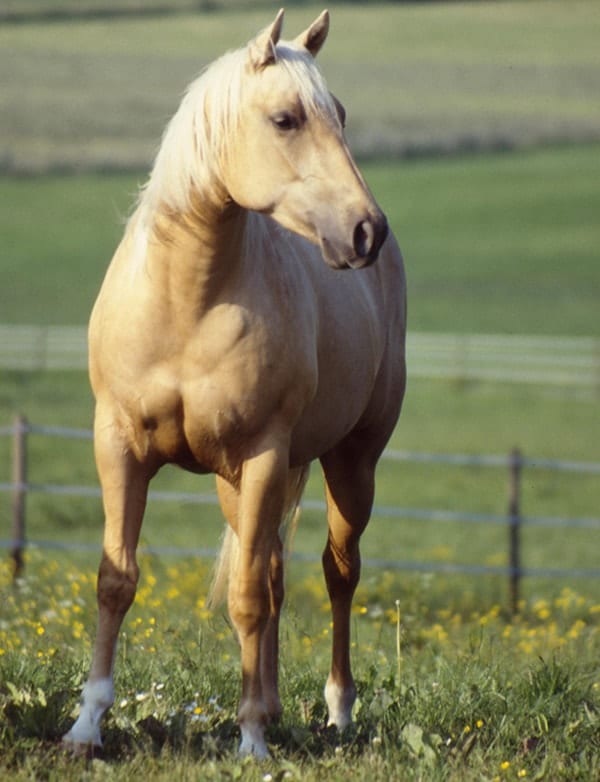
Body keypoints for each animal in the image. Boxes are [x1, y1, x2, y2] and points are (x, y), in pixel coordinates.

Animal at [63, 8, 406, 758]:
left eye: (339, 114)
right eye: (284, 119)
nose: (365, 230)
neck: (185, 301)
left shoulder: (264, 453)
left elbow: (247, 596)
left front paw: (250, 740)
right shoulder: (117, 445)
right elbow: (116, 580)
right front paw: (87, 724)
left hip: (351, 461)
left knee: (337, 571)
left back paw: (335, 711)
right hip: (238, 482)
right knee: (275, 570)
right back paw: (275, 705)